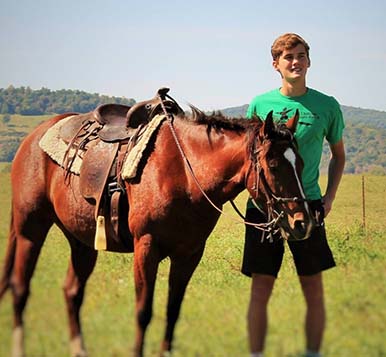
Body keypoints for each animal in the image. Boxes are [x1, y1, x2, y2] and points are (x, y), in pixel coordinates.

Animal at [0, 92, 314, 356]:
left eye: (300, 163)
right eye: (273, 165)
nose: (301, 223)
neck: (185, 173)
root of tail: (32, 139)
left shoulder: (189, 254)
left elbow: (173, 310)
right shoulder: (146, 247)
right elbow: (143, 311)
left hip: (82, 242)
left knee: (72, 292)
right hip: (30, 229)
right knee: (20, 288)